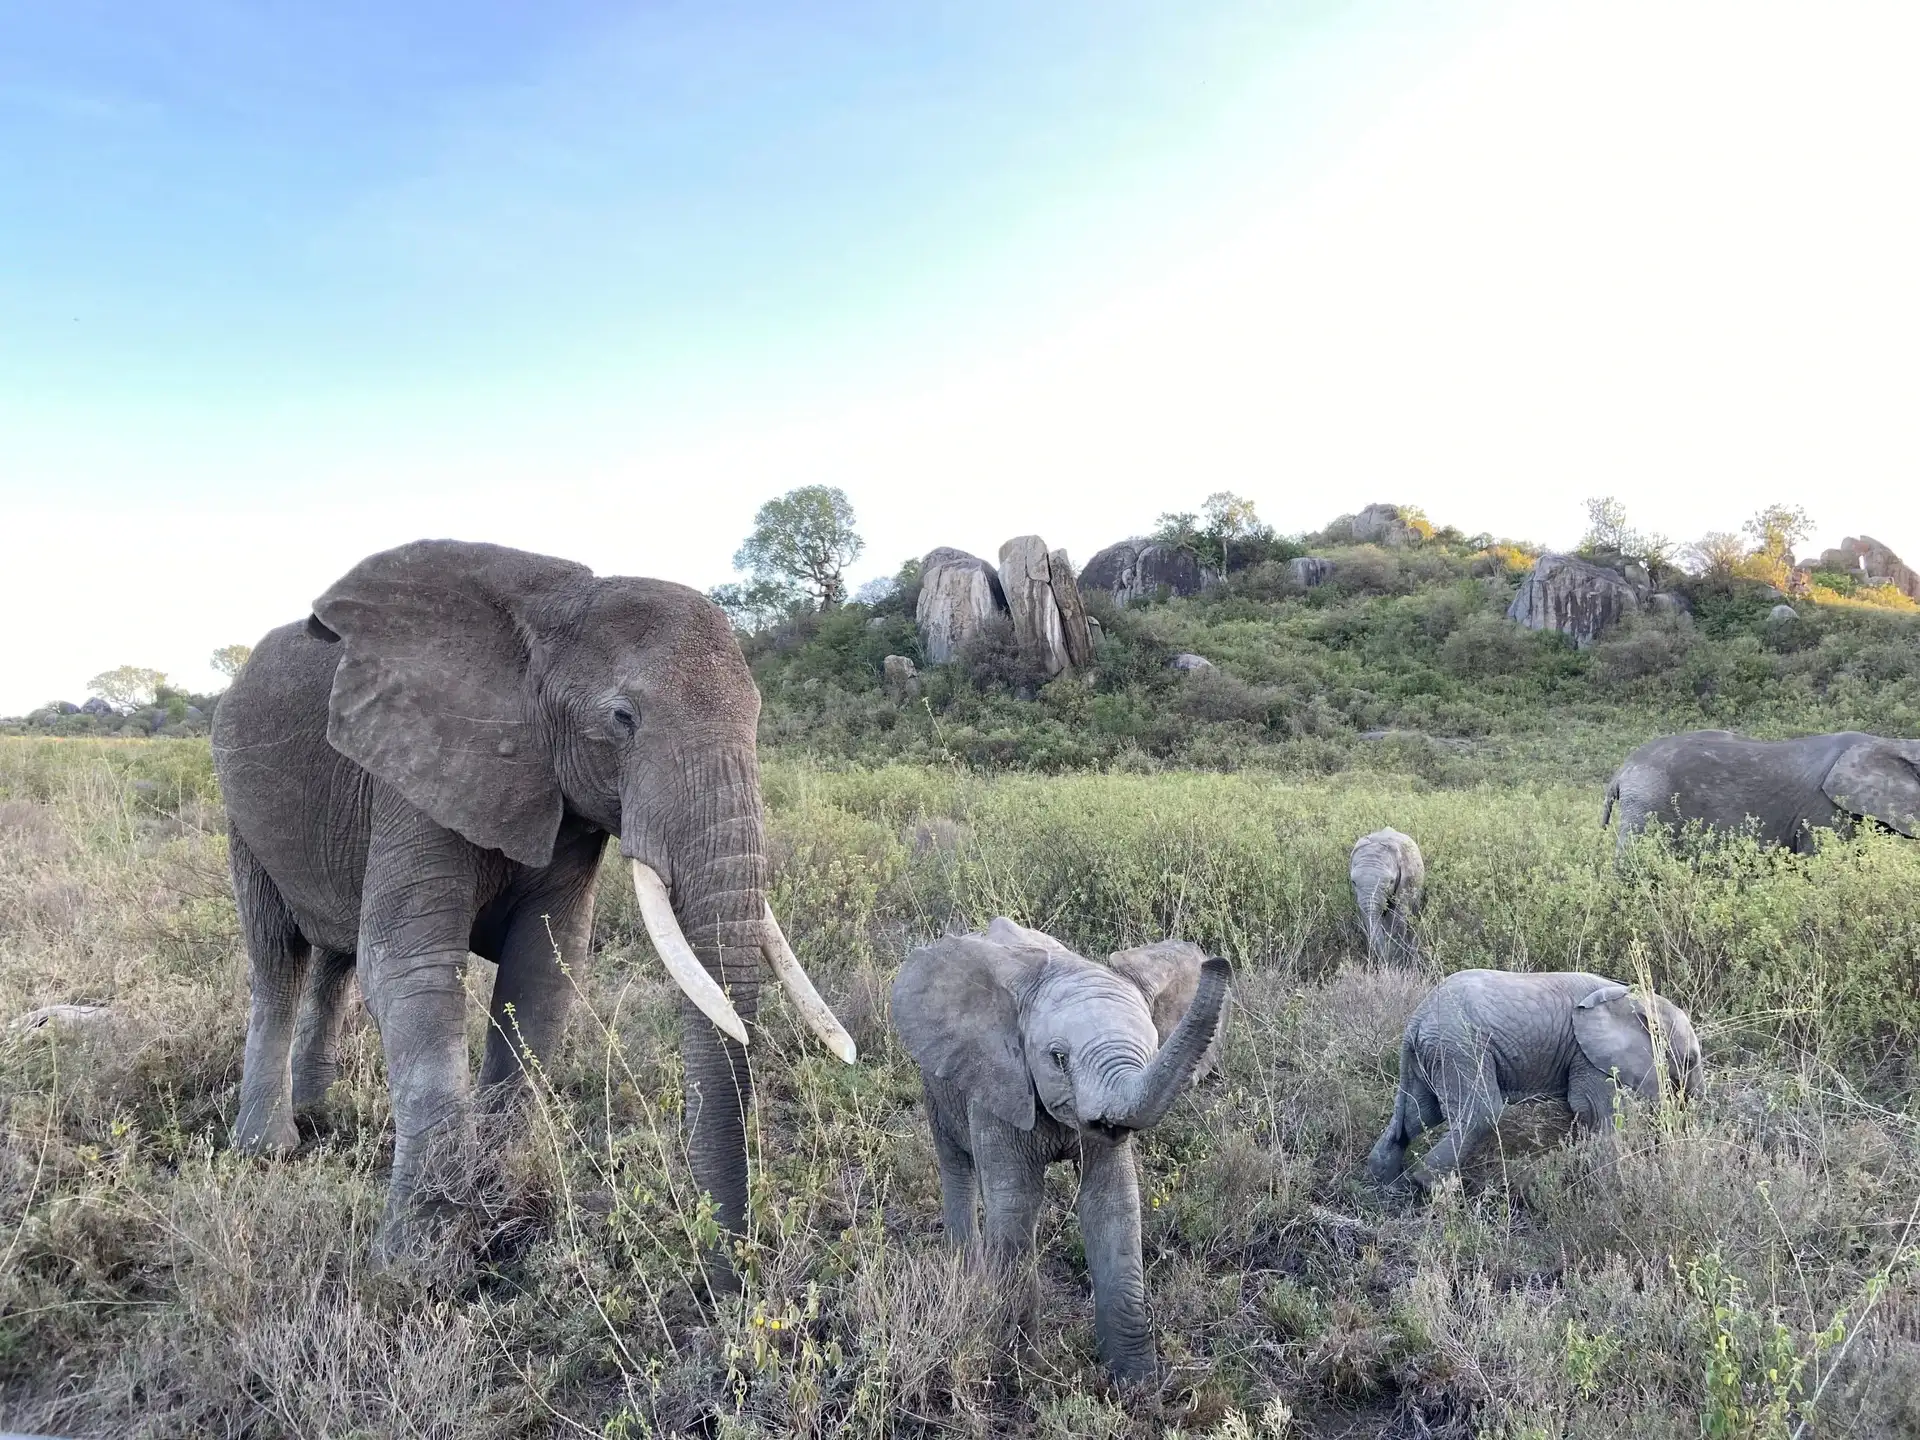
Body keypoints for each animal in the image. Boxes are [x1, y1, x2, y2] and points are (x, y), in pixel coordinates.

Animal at [211, 539, 855, 1266]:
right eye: (622, 719)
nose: (727, 1273)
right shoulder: (416, 769)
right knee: (277, 957)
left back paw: (320, 1111)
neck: (550, 611)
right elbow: (412, 972)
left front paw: (496, 1221)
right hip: (240, 809)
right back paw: (268, 1149)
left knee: (335, 959)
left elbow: (542, 972)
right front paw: (413, 1266)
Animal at [890, 918, 1231, 1382]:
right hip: (939, 1072)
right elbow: (1016, 1202)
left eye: (1153, 1048)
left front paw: (1137, 1381)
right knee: (955, 1162)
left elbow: (1112, 1201)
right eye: (1058, 1058)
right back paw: (965, 1275)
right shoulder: (1002, 1082)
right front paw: (1018, 1371)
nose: (1218, 962)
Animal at [1367, 968, 1702, 1189]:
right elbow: (1598, 1115)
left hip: (1433, 1053)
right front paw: (1611, 1186)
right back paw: (1430, 1187)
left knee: (1417, 1115)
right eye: (1690, 1060)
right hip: (1460, 1046)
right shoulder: (1589, 1055)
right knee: (1480, 1113)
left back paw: (1384, 1181)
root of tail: (1416, 1019)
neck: (1638, 999)